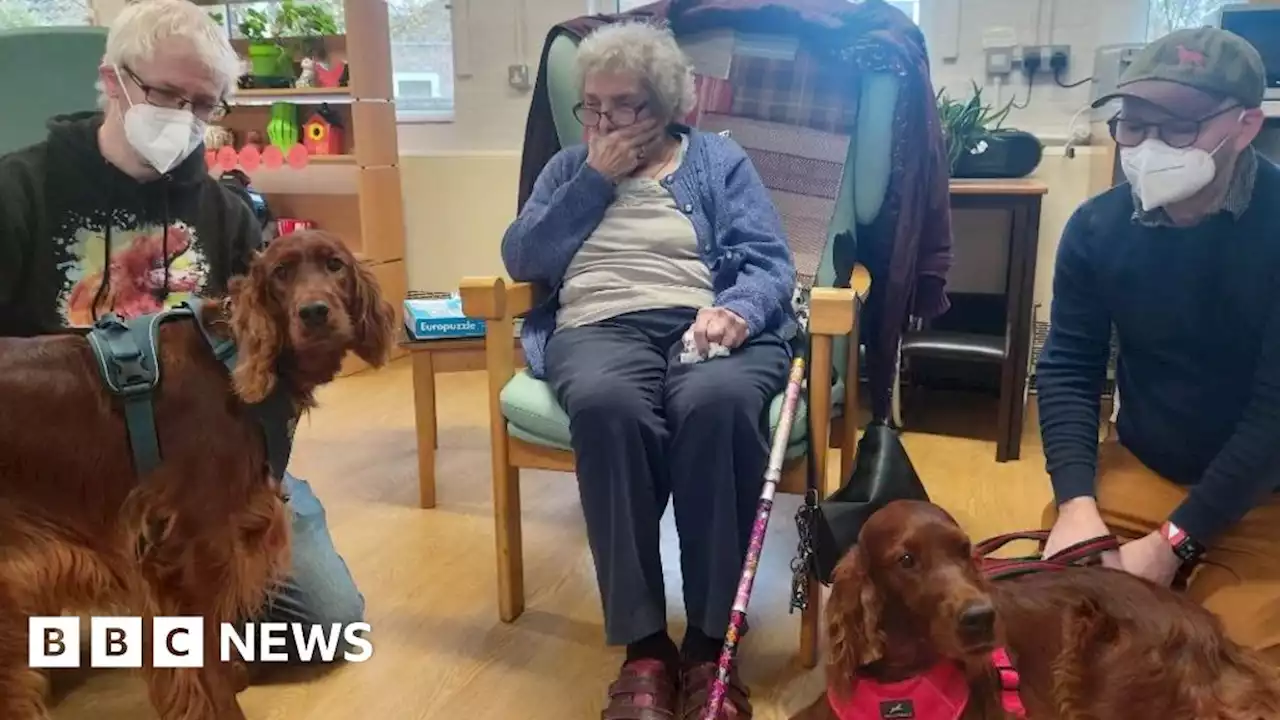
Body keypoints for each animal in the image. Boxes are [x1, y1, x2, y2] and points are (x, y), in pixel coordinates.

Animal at [0, 230, 394, 717]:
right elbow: (202, 662)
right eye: (281, 273)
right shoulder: (189, 551)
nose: (314, 312)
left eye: (335, 264)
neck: (230, 361)